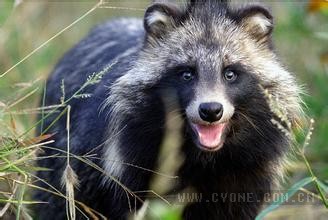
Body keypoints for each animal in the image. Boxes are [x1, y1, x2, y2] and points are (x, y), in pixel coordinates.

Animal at [33, 0, 302, 219]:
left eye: (230, 73)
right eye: (186, 74)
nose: (211, 110)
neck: (204, 156)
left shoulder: (250, 172)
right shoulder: (129, 164)